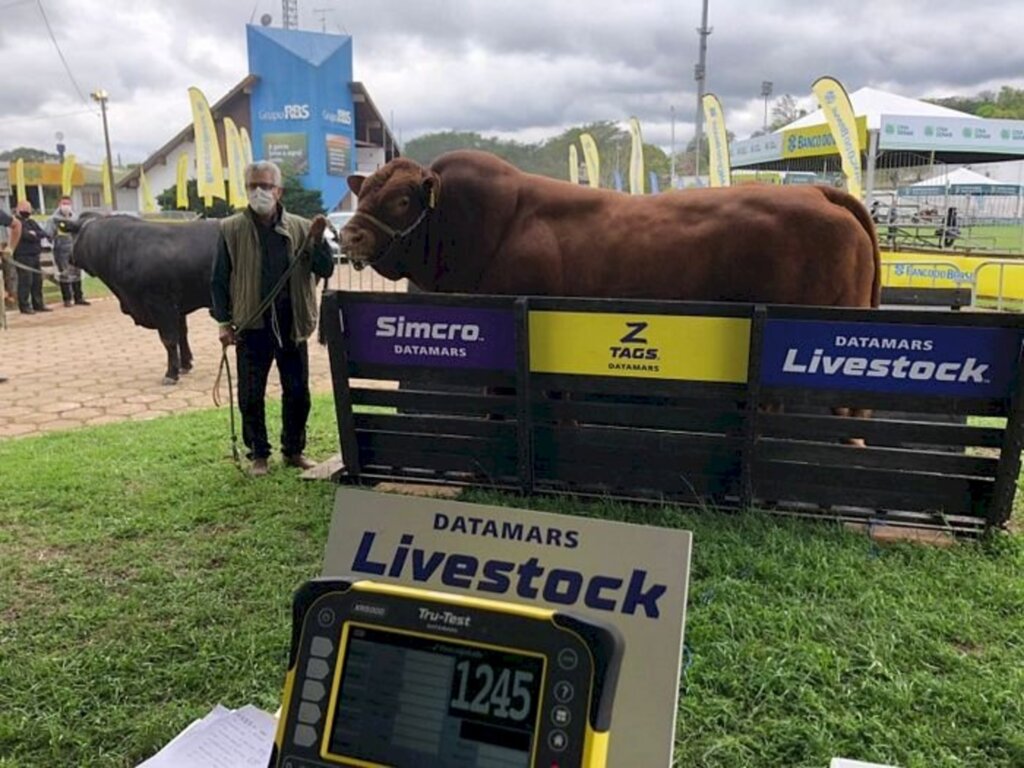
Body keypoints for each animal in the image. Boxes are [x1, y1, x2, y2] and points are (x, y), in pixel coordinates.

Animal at [70, 215, 220, 385]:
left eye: (74, 235)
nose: (69, 258)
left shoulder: (161, 303)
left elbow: (169, 339)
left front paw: (171, 374)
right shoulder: (178, 307)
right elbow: (182, 334)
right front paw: (185, 365)